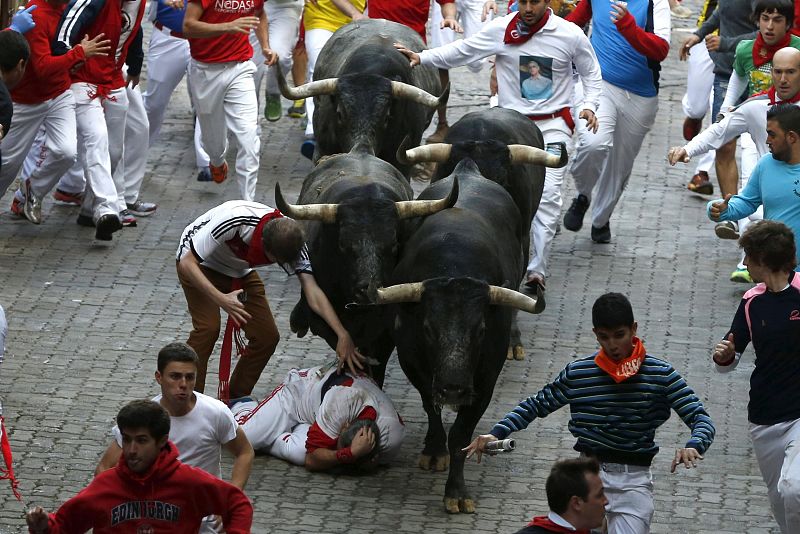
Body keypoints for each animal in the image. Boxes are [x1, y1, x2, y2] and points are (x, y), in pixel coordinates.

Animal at [376, 161, 544, 516]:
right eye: (427, 328)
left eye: (480, 329)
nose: (453, 388)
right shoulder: (416, 367)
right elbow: (432, 409)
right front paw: (434, 451)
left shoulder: (485, 381)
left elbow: (461, 434)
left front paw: (456, 491)